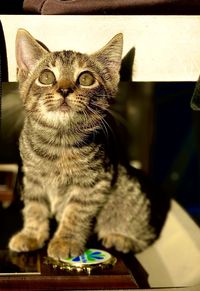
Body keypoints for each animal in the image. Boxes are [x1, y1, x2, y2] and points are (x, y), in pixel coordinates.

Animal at [9, 29, 169, 260]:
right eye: (46, 77)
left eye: (86, 78)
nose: (65, 90)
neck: (59, 142)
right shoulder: (32, 178)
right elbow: (34, 207)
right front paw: (31, 234)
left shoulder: (94, 183)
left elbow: (76, 213)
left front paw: (65, 241)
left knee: (144, 233)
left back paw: (123, 238)